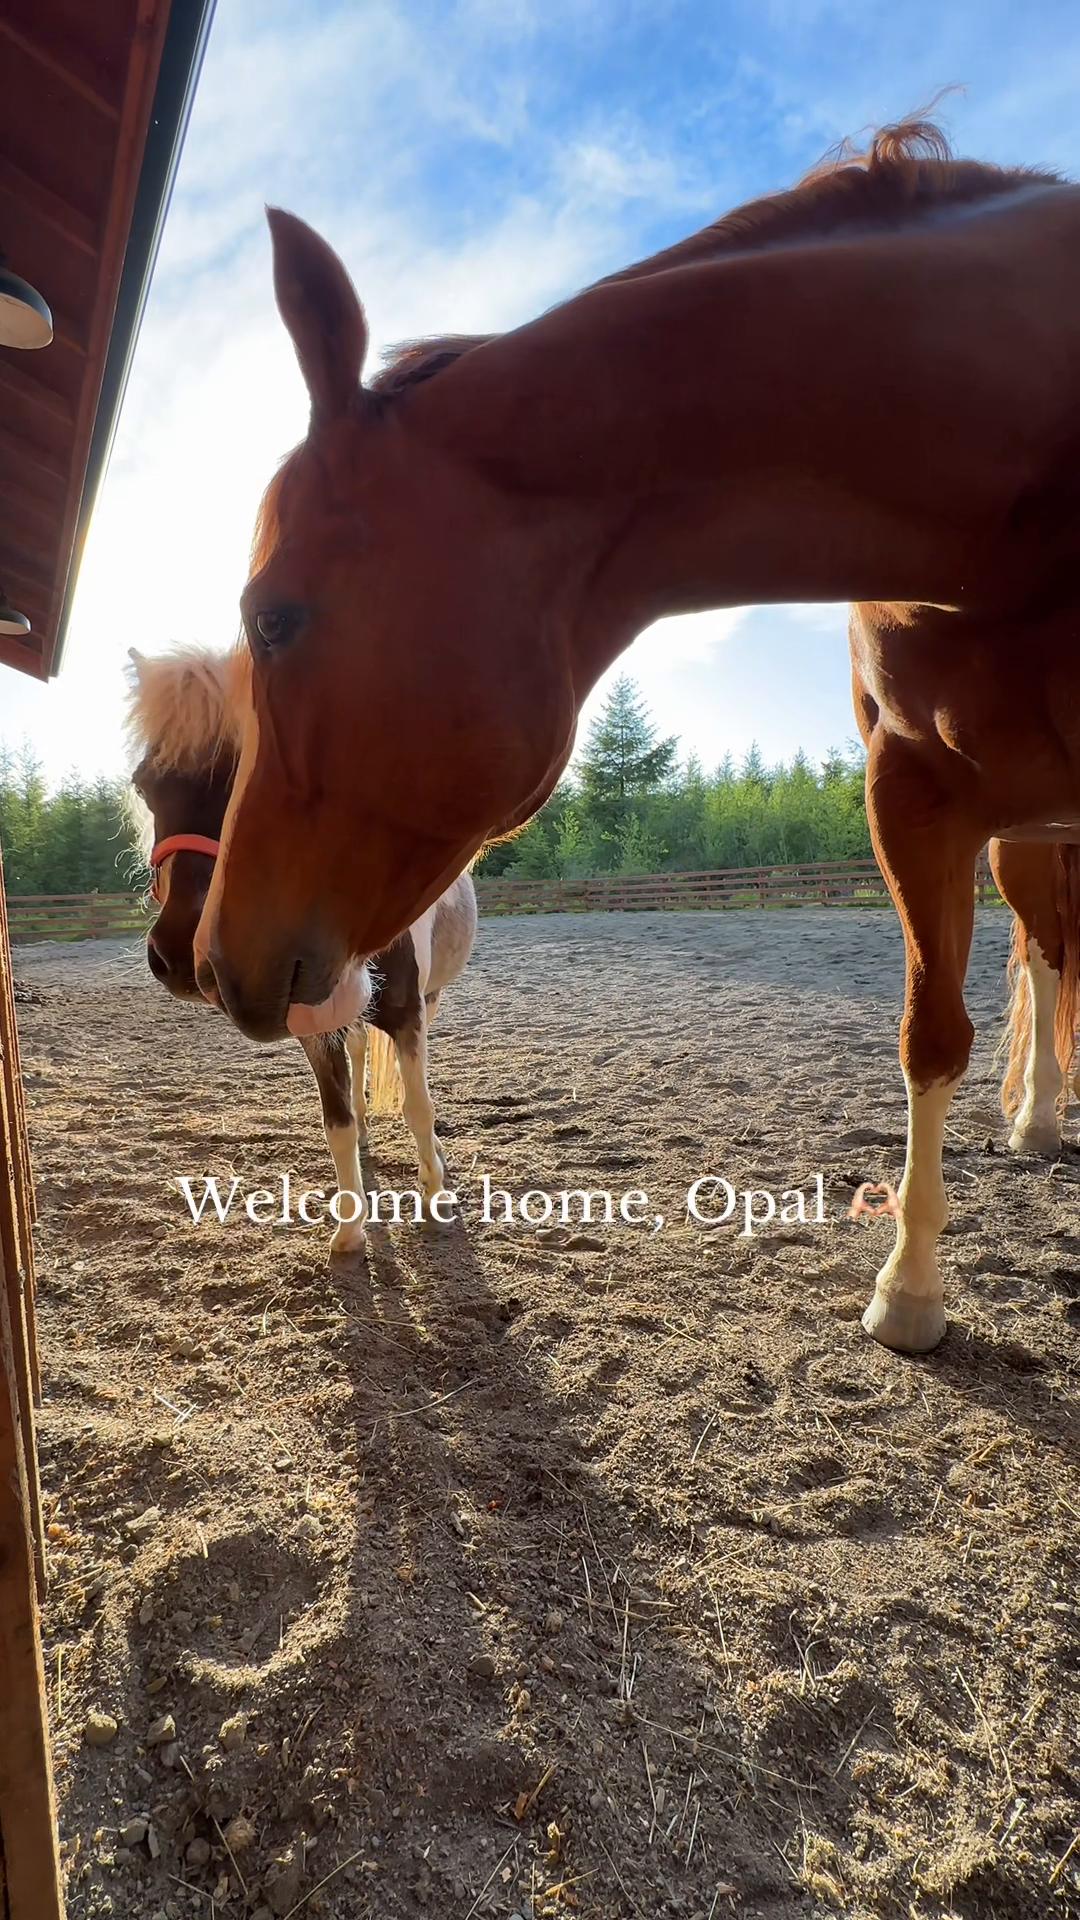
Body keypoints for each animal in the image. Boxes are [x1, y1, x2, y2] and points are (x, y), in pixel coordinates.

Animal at [125, 644, 477, 1252]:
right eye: (145, 787)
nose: (179, 954)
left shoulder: (408, 1014)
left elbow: (419, 1107)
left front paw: (434, 1193)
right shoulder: (312, 1028)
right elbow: (336, 1123)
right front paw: (350, 1228)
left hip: (431, 999)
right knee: (357, 1051)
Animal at [192, 117, 1080, 1354]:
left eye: (271, 615)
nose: (213, 959)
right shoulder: (918, 800)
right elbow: (932, 1037)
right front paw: (909, 1290)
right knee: (1048, 960)